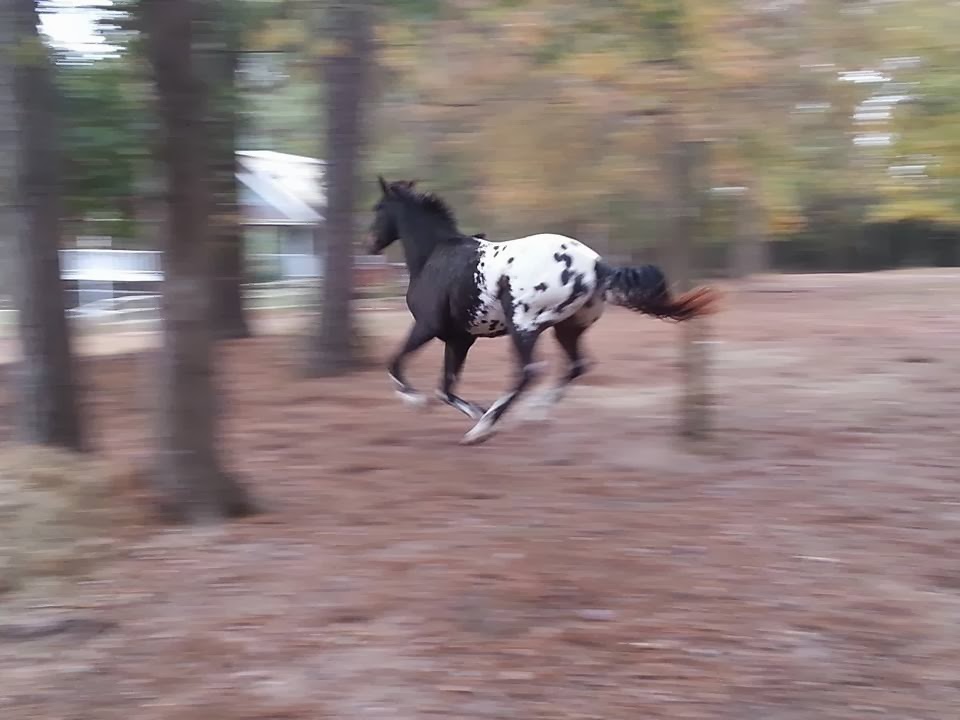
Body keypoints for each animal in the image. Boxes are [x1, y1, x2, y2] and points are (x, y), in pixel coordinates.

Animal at [367, 176, 718, 445]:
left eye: (378, 209)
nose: (369, 245)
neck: (434, 256)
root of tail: (595, 265)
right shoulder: (460, 339)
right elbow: (445, 388)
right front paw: (478, 412)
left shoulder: (427, 327)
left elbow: (396, 363)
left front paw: (416, 402)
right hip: (567, 328)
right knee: (575, 365)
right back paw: (528, 413)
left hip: (523, 325)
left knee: (529, 370)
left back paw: (487, 427)